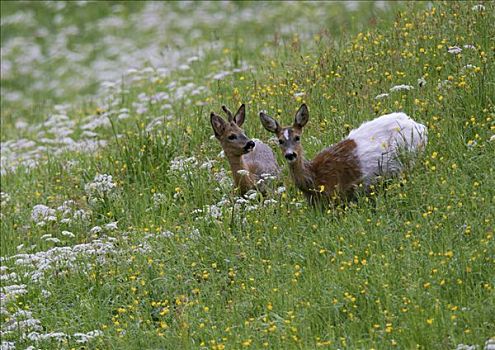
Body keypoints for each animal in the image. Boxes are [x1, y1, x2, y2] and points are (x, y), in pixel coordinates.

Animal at [262, 104, 428, 204]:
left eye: (297, 137)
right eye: (280, 141)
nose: (290, 155)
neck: (314, 180)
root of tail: (420, 126)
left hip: (410, 159)